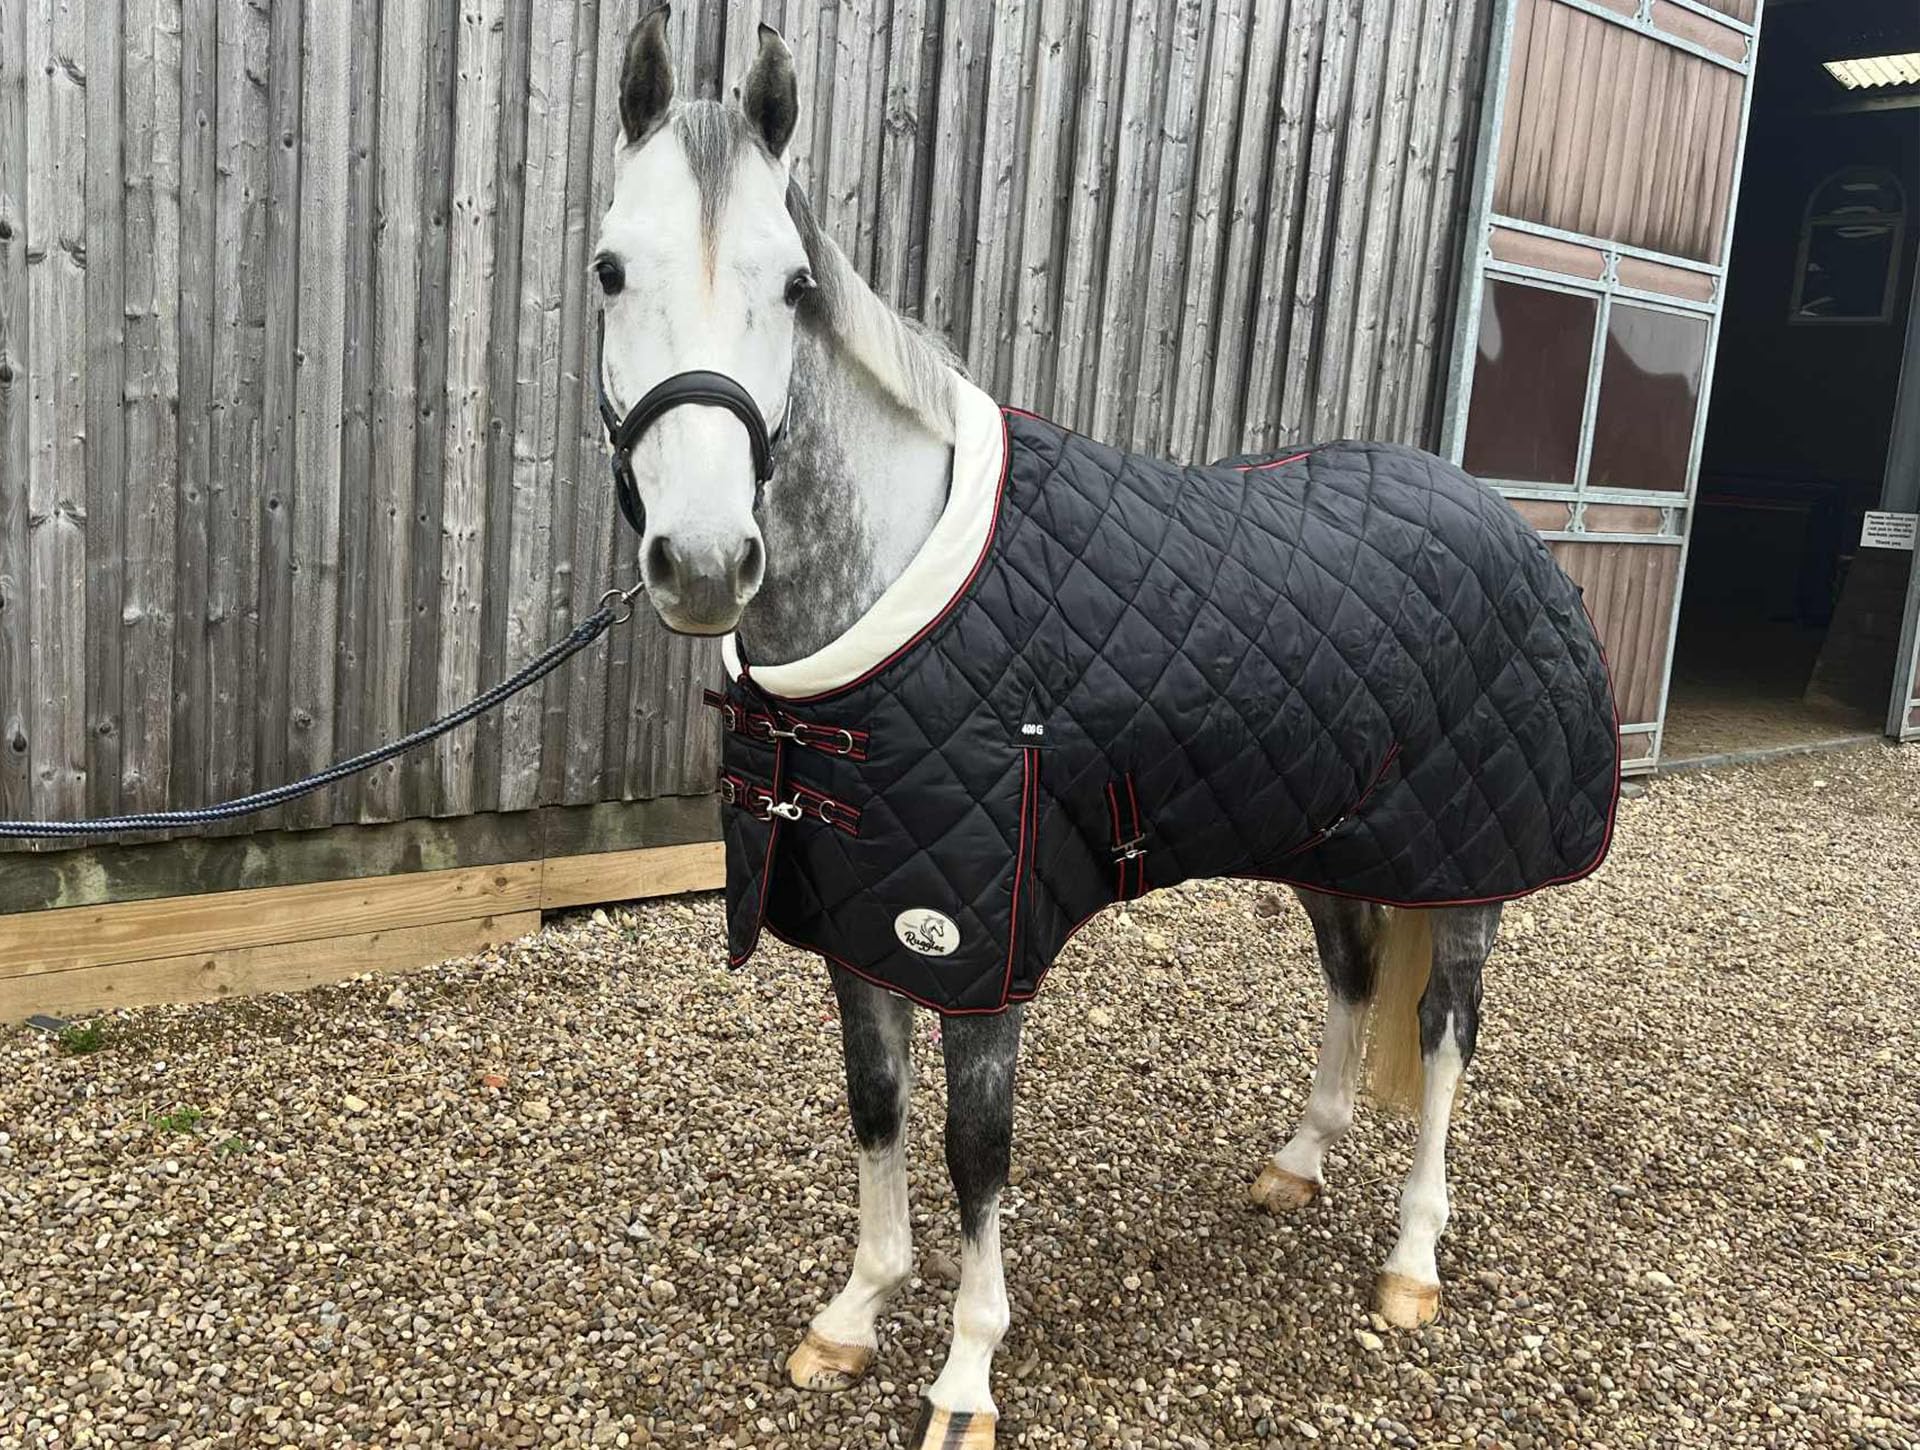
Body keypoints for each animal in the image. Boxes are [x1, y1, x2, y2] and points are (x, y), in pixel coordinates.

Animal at [592, 11, 1616, 1447]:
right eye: (609, 269)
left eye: (792, 285)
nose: (700, 560)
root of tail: (1500, 517)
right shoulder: (863, 924)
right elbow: (874, 1111)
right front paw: (854, 1316)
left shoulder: (980, 947)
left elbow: (974, 1154)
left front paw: (965, 1377)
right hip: (1334, 839)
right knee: (1354, 973)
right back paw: (1298, 1163)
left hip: (1473, 868)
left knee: (1444, 1032)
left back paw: (1413, 1260)